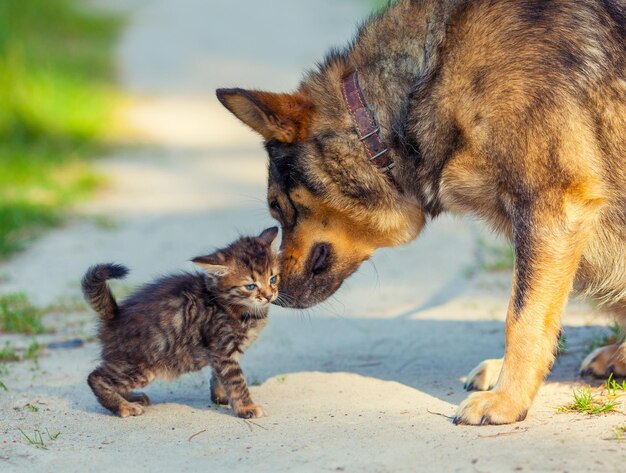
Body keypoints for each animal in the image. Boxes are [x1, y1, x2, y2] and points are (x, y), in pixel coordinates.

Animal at [81, 228, 280, 416]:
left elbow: (218, 377)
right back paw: (123, 407)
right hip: (140, 366)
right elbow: (236, 381)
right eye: (250, 286)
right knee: (95, 377)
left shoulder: (220, 353)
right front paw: (247, 408)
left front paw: (221, 397)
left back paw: (131, 398)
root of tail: (115, 315)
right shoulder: (222, 349)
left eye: (273, 278)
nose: (269, 296)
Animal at [216, 0, 624, 426]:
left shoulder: (551, 207)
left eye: (278, 206)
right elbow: (531, 312)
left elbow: (523, 318)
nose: (272, 296)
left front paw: (507, 399)